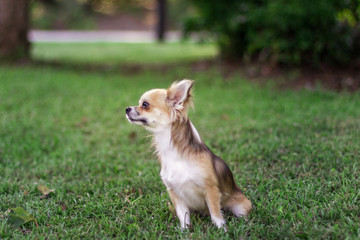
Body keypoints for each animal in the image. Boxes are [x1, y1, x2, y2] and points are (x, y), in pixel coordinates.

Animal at [125, 80, 252, 231]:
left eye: (145, 104)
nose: (126, 109)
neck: (173, 152)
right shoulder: (175, 193)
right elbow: (183, 216)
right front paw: (184, 231)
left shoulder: (211, 190)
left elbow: (215, 214)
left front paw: (221, 230)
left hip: (242, 206)